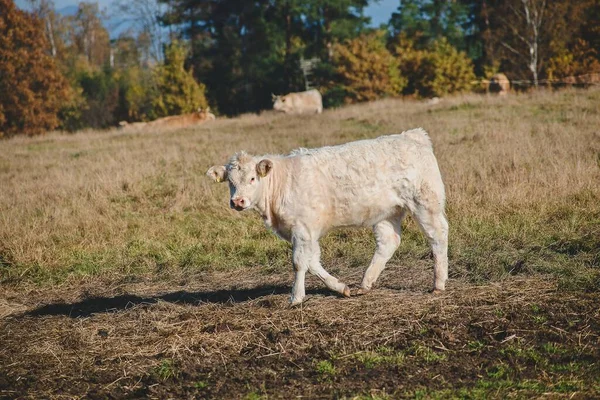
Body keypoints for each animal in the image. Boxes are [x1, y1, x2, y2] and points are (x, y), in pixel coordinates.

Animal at [206, 130, 446, 304]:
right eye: (230, 182)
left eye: (253, 178)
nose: (238, 202)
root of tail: (412, 136)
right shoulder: (307, 233)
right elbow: (312, 262)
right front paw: (340, 287)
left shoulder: (302, 229)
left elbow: (299, 262)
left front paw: (296, 297)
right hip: (387, 212)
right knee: (389, 242)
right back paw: (365, 283)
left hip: (425, 202)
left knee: (438, 235)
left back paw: (438, 284)